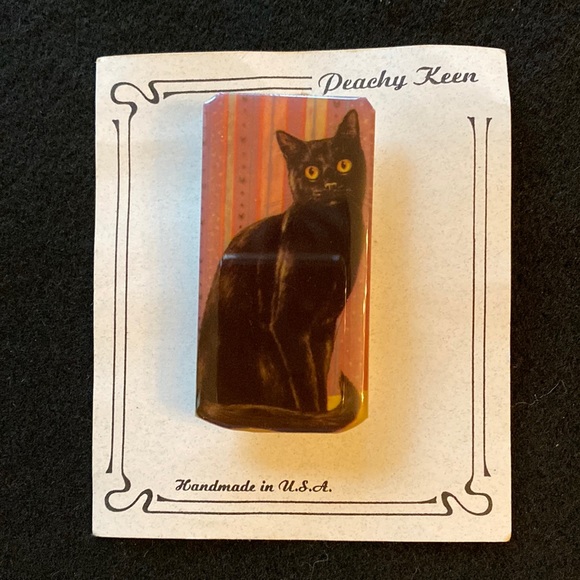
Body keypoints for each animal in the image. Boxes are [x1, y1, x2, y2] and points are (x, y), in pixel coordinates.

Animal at [196, 109, 366, 432]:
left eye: (344, 164)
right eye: (311, 171)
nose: (329, 184)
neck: (330, 232)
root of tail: (202, 399)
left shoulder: (324, 325)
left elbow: (319, 374)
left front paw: (322, 413)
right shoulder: (289, 323)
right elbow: (306, 380)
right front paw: (313, 420)